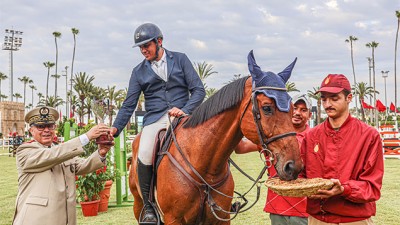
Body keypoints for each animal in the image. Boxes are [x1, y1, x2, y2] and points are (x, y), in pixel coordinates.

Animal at [130, 51, 302, 225]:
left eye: (292, 108)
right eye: (267, 108)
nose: (293, 166)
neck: (204, 170)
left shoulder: (222, 218)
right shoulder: (174, 219)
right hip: (138, 205)